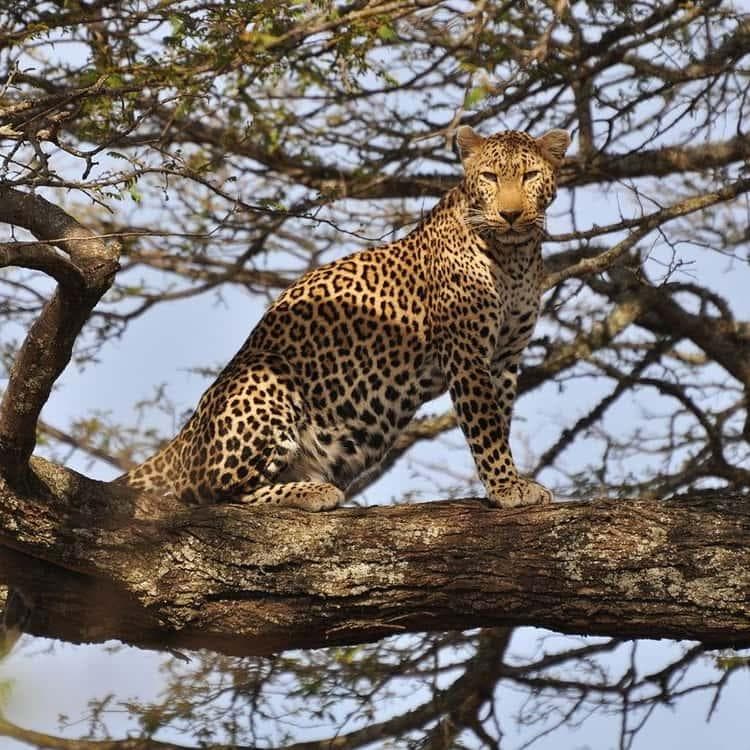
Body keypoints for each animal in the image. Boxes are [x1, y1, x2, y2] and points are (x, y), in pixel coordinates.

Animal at [118, 126, 570, 511]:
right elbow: (486, 428)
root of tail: (184, 439)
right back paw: (311, 491)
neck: (514, 257)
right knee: (212, 493)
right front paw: (507, 487)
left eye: (530, 175)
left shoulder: (505, 357)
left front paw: (507, 482)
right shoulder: (467, 354)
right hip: (264, 375)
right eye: (490, 177)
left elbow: (500, 421)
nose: (510, 214)